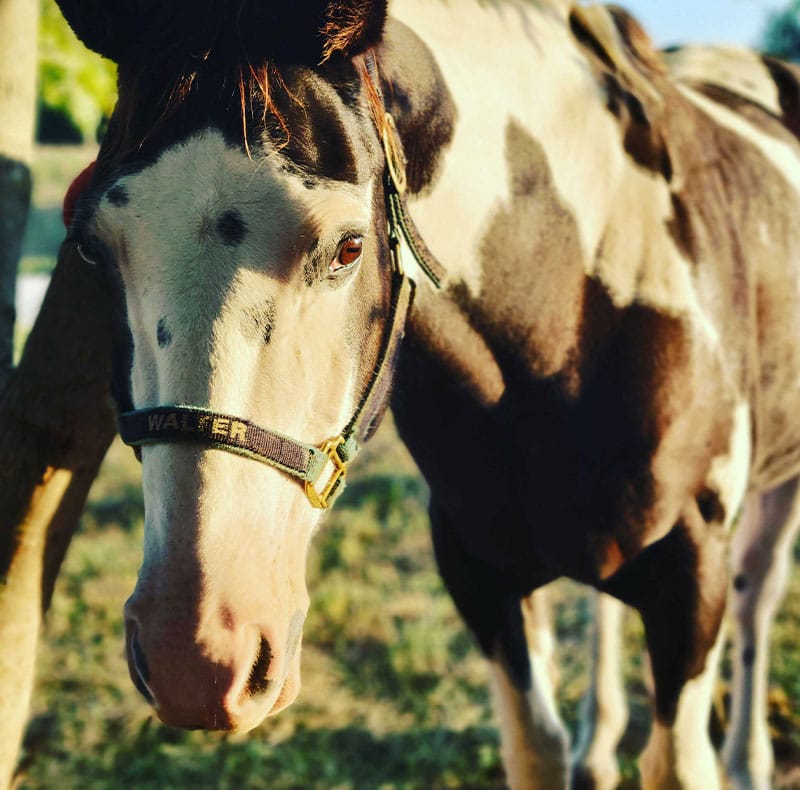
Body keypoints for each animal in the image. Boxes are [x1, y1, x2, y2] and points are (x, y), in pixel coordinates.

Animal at [51, 0, 800, 787]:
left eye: (349, 247)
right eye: (92, 247)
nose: (196, 657)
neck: (571, 317)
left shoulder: (690, 585)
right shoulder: (479, 573)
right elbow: (537, 744)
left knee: (758, 596)